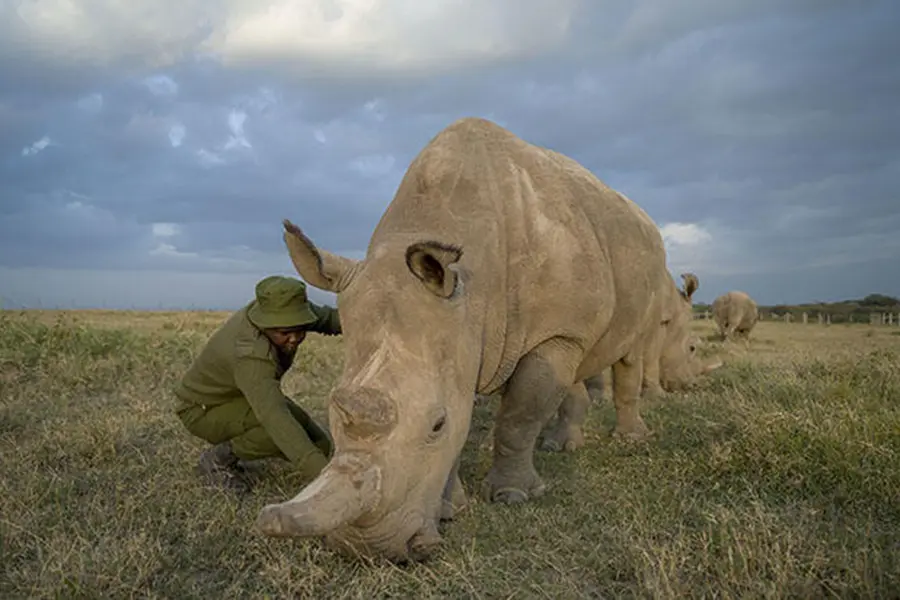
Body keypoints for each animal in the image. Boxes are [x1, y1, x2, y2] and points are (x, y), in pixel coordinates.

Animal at [255, 117, 696, 562]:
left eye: (436, 425)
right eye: (332, 408)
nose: (368, 550)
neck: (473, 290)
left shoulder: (549, 331)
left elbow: (520, 414)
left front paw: (513, 496)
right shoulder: (462, 332)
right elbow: (479, 414)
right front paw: (452, 509)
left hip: (644, 272)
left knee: (631, 351)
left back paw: (630, 439)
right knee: (576, 364)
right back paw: (559, 446)